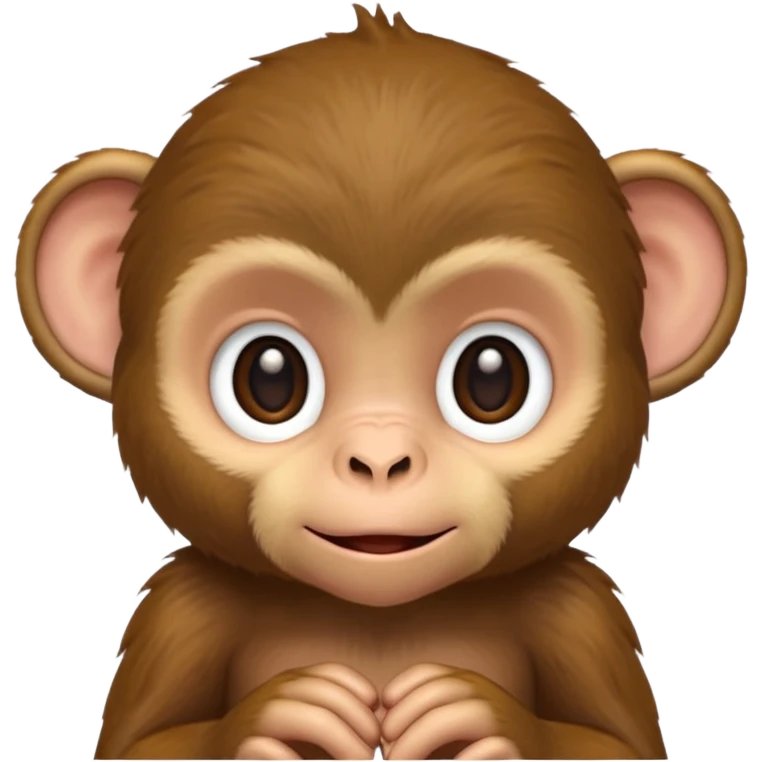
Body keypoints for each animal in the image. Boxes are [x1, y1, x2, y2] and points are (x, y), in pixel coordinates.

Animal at [14, 4, 747, 760]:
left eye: (492, 378)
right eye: (269, 378)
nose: (379, 459)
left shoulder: (577, 608)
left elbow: (618, 745)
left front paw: (489, 720)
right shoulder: (183, 608)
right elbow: (141, 744)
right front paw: (268, 719)